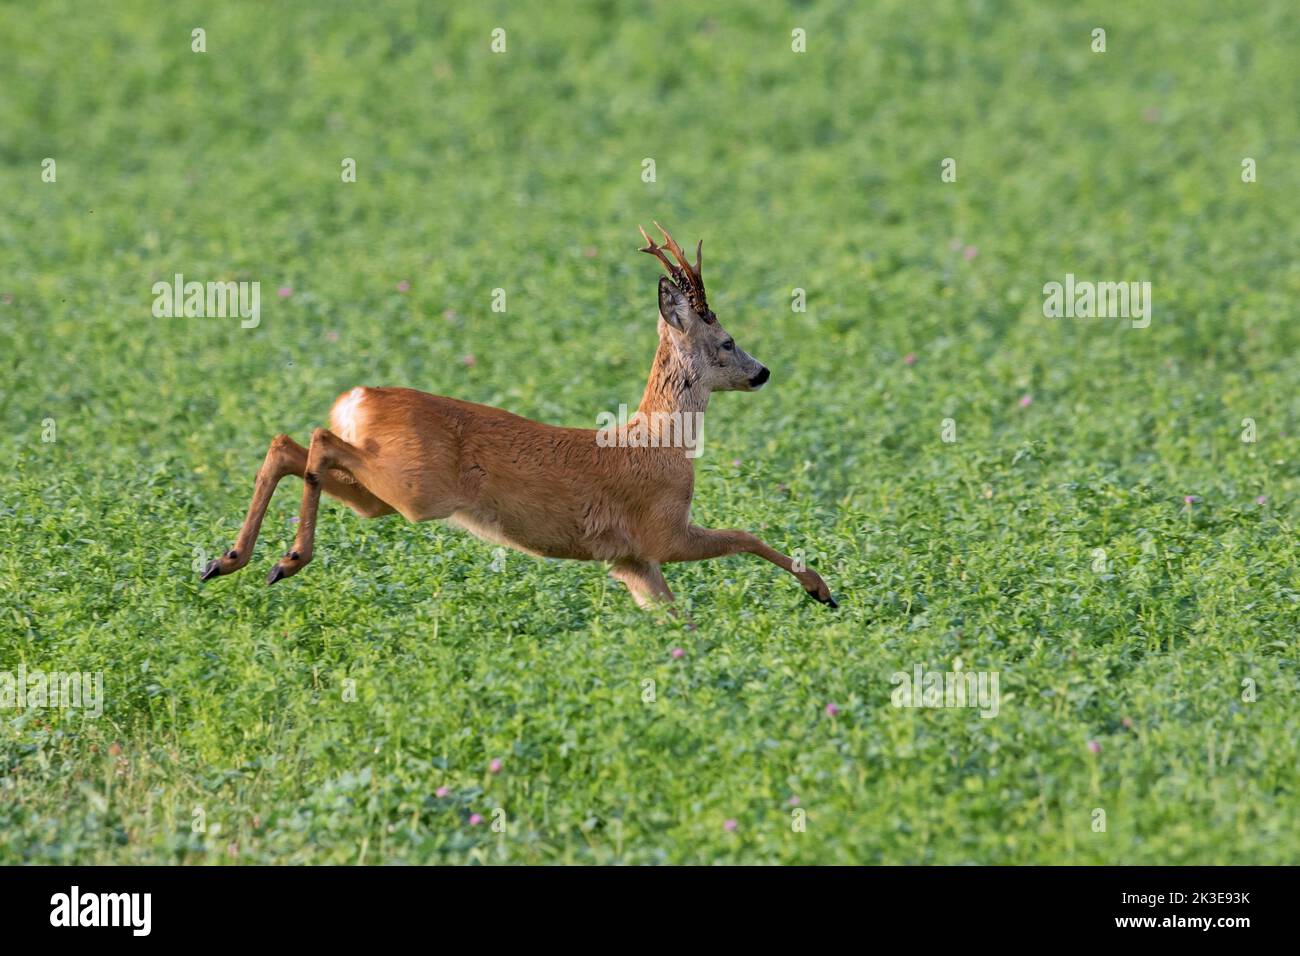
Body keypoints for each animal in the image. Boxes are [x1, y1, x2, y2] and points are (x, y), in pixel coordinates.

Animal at [199, 222, 838, 611]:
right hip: (415, 487)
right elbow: (744, 535)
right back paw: (285, 559)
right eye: (727, 341)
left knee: (289, 445)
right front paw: (821, 589)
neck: (662, 441)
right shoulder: (661, 530)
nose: (763, 372)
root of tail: (358, 397)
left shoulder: (630, 560)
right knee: (314, 438)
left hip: (383, 494)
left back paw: (229, 561)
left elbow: (677, 617)